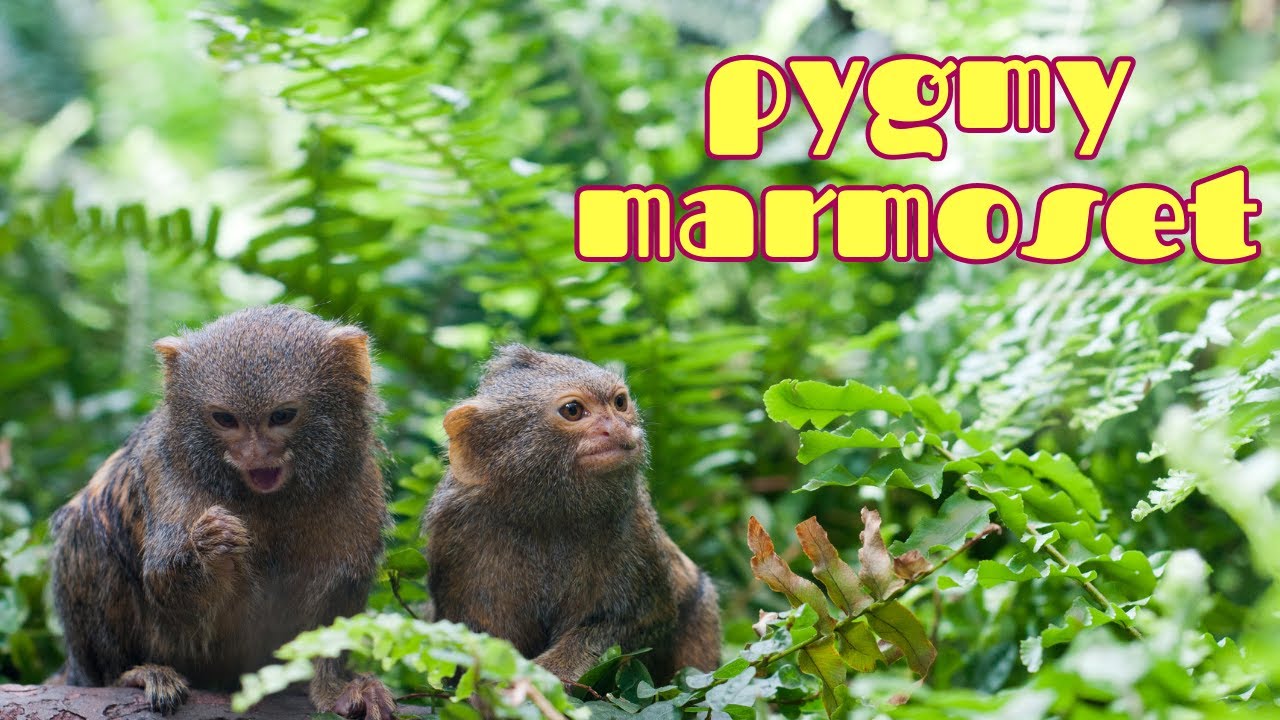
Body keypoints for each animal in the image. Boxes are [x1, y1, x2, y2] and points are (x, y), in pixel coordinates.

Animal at [48, 305, 396, 718]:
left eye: (282, 416)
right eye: (226, 419)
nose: (254, 454)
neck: (272, 501)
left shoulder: (356, 480)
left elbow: (337, 601)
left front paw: (336, 688)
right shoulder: (167, 468)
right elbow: (165, 582)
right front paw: (212, 545)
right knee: (86, 529)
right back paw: (133, 674)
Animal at [424, 345, 721, 685]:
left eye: (620, 403)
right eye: (573, 410)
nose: (618, 427)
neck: (545, 517)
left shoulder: (637, 529)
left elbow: (647, 618)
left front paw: (549, 674)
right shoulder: (456, 535)